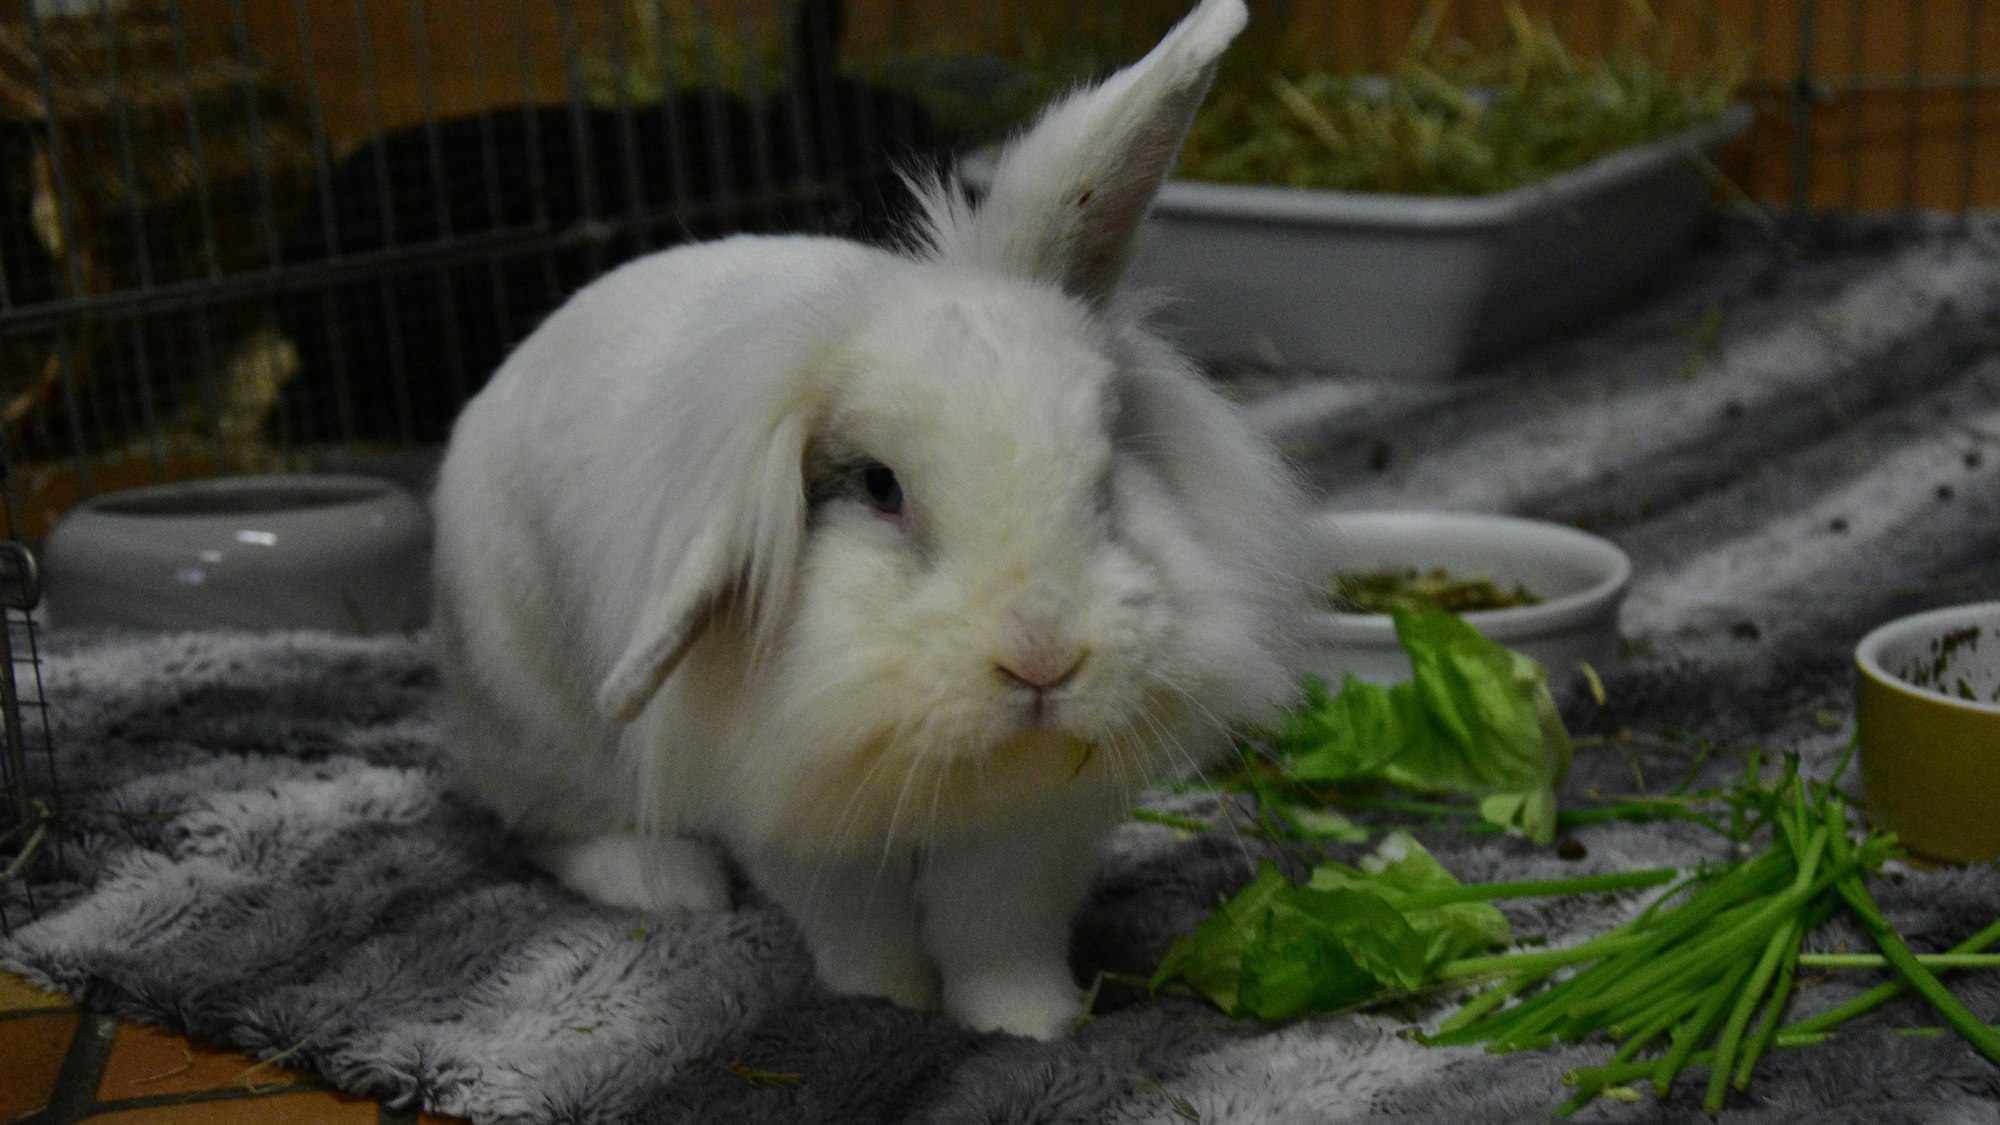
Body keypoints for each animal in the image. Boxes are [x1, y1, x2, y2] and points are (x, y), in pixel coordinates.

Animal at [430, 0, 1316, 1039]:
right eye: (880, 487)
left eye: (1105, 466)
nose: (1044, 658)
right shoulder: (800, 812)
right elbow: (866, 934)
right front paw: (885, 1012)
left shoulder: (1033, 833)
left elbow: (999, 933)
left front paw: (1034, 1027)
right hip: (531, 712)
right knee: (549, 821)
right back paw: (664, 881)